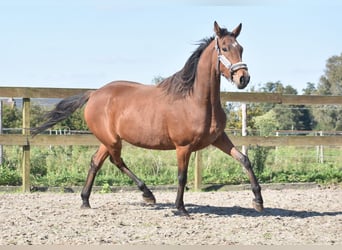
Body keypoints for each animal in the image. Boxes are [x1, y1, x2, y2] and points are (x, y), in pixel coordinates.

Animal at [31, 21, 264, 216]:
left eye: (241, 48)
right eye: (224, 48)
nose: (243, 78)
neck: (196, 100)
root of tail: (94, 93)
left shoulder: (218, 138)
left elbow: (244, 160)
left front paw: (258, 201)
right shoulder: (183, 147)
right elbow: (182, 176)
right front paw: (180, 209)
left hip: (107, 140)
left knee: (96, 162)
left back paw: (86, 200)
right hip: (112, 140)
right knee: (116, 161)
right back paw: (147, 194)